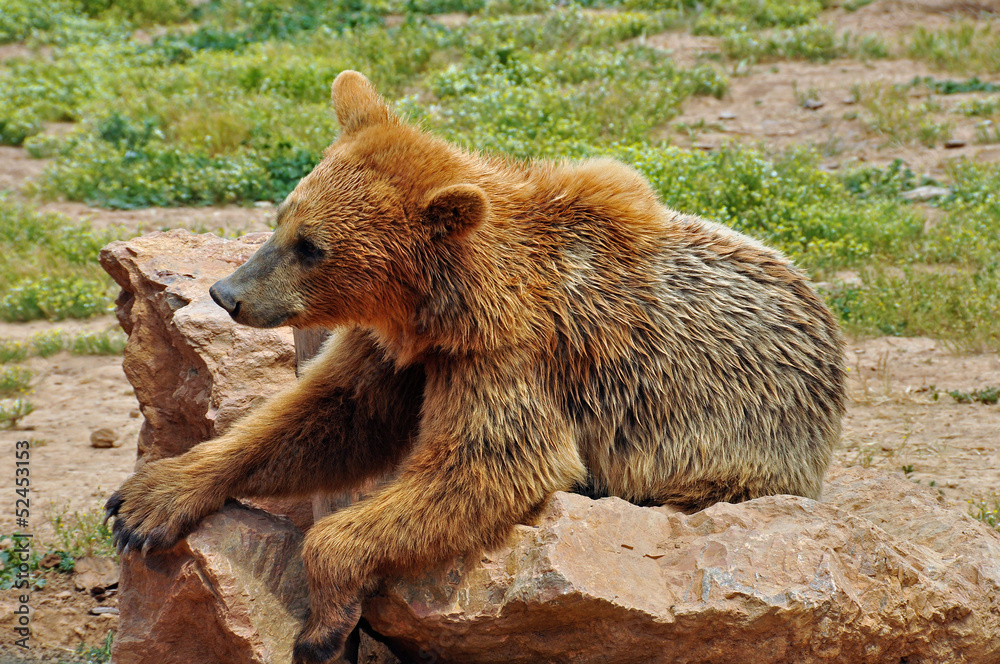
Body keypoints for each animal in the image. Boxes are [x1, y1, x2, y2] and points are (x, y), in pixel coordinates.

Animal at [106, 70, 847, 664]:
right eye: (282, 215)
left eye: (311, 246)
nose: (227, 293)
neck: (441, 310)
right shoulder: (397, 357)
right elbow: (323, 417)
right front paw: (146, 502)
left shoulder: (509, 360)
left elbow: (484, 464)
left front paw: (322, 624)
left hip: (736, 451)